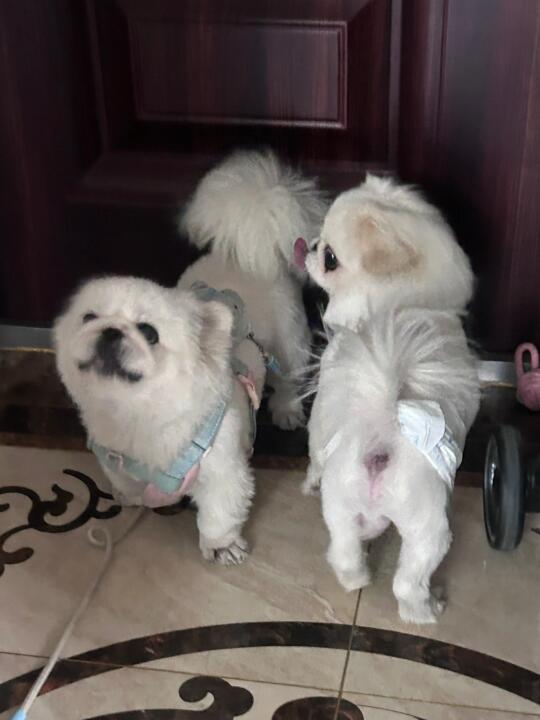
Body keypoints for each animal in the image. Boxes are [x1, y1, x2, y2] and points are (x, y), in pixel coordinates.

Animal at [296, 175, 480, 622]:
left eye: (330, 258)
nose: (308, 245)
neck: (404, 302)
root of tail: (381, 441)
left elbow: (312, 456)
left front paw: (307, 483)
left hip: (352, 509)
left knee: (355, 560)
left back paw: (389, 593)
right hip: (422, 528)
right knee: (399, 579)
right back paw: (424, 607)